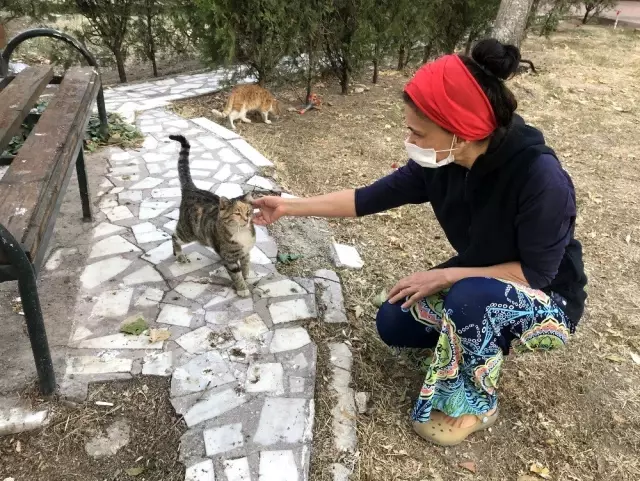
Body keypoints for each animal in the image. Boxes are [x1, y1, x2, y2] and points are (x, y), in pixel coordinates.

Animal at [169, 133, 256, 294]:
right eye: (237, 213)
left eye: (249, 211)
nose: (247, 219)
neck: (241, 232)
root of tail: (192, 189)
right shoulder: (230, 259)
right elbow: (236, 274)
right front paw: (242, 289)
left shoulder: (245, 253)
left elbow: (246, 266)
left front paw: (247, 278)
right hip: (188, 232)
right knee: (174, 236)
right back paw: (179, 255)